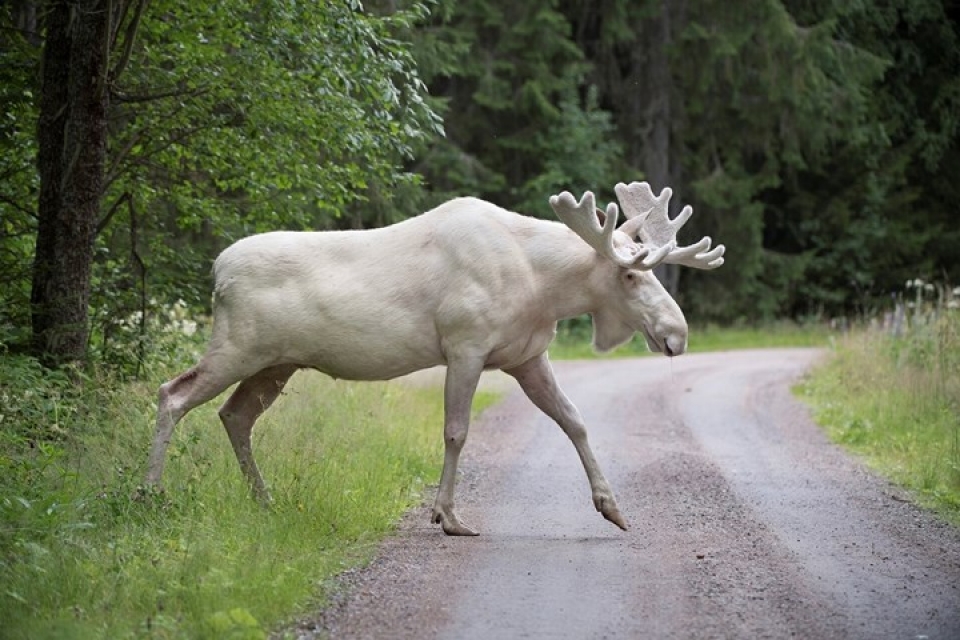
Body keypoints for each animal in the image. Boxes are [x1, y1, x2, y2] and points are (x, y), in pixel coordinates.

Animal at [146, 182, 724, 536]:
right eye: (629, 274)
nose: (677, 334)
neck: (542, 286)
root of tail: (217, 271)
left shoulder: (526, 356)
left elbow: (575, 421)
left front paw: (612, 507)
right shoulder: (465, 345)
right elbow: (456, 431)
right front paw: (448, 516)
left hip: (276, 363)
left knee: (234, 414)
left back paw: (263, 501)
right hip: (238, 346)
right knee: (172, 393)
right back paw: (150, 493)